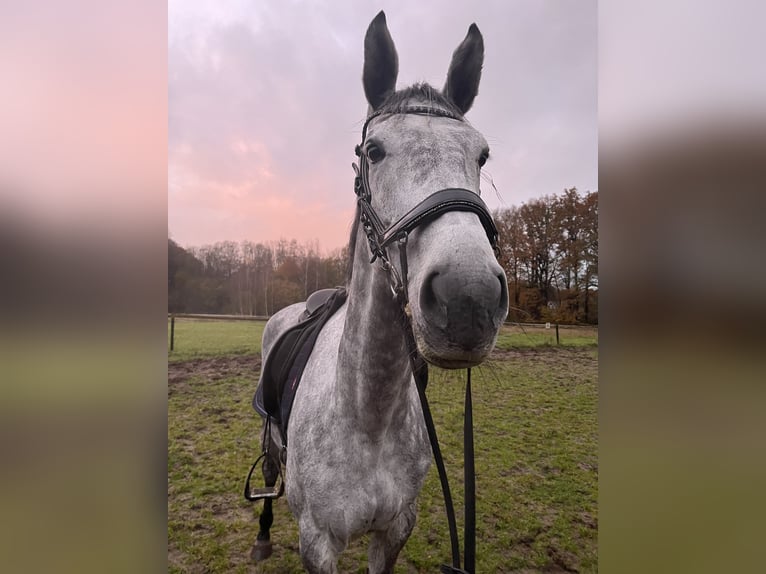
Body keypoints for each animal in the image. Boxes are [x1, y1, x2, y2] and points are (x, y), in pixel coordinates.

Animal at [252, 11, 510, 572]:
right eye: (374, 151)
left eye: (481, 155)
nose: (469, 300)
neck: (366, 414)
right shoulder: (317, 543)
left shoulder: (394, 531)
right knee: (269, 471)